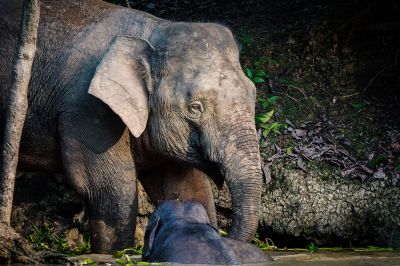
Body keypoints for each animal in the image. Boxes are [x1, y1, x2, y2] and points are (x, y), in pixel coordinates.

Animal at [0, 0, 264, 252]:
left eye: (253, 95)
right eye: (195, 107)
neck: (152, 32)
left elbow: (188, 190)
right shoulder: (89, 110)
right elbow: (111, 193)